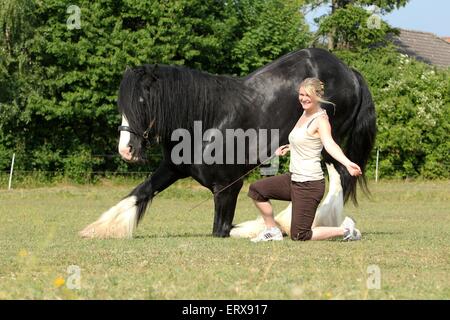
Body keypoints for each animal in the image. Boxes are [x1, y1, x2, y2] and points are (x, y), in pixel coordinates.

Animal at [79, 47, 374, 238]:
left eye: (142, 101)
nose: (126, 150)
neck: (207, 121)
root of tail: (349, 71)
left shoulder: (227, 188)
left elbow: (222, 230)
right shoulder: (173, 169)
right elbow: (139, 193)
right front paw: (96, 229)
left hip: (327, 139)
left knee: (340, 174)